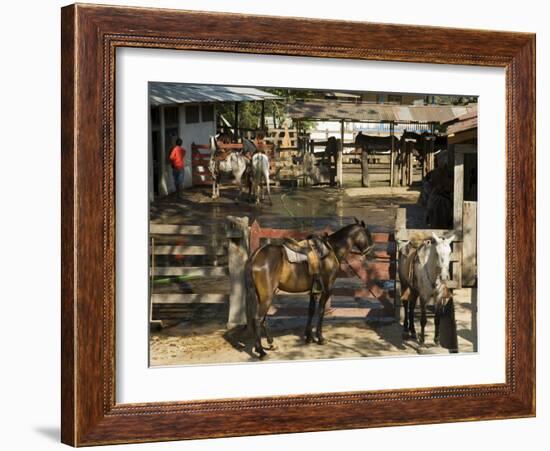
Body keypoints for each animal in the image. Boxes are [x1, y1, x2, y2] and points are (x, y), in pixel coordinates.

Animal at [248, 220, 378, 360]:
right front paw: (320, 338)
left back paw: (270, 344)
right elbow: (321, 311)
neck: (332, 250)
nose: (372, 254)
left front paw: (309, 336)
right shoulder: (327, 289)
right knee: (257, 319)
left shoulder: (314, 291)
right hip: (267, 296)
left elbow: (311, 310)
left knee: (263, 319)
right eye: (368, 234)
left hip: (264, 295)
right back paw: (261, 351)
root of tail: (256, 255)